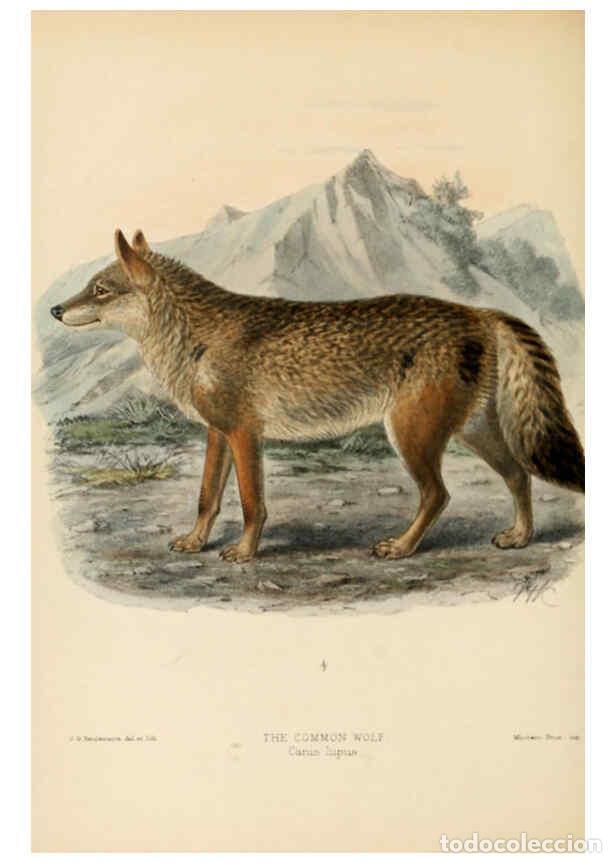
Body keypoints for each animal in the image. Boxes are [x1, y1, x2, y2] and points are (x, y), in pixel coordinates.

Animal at [50, 229, 585, 563]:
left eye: (99, 290)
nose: (54, 309)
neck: (195, 336)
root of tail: (479, 313)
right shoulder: (217, 434)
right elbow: (206, 498)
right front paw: (195, 541)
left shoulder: (244, 435)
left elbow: (251, 503)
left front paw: (244, 553)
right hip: (470, 433)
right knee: (518, 475)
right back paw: (520, 537)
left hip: (412, 436)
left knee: (439, 494)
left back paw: (401, 548)